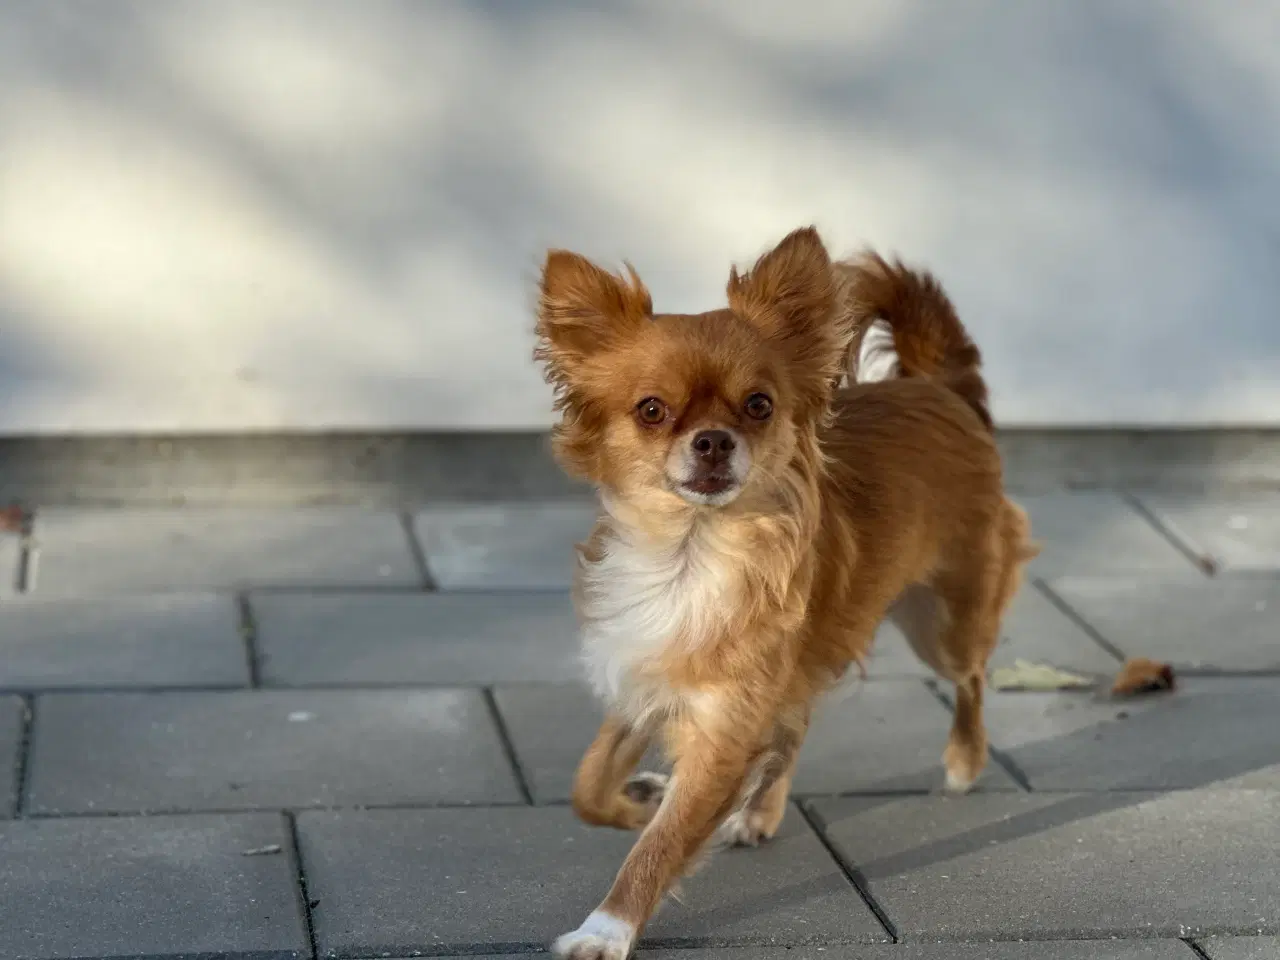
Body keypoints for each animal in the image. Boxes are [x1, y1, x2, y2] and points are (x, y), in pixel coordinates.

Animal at [535, 229, 1034, 957]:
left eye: (759, 405)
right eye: (651, 410)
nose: (714, 440)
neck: (693, 551)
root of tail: (935, 386)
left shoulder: (725, 724)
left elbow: (658, 850)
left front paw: (608, 928)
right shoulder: (646, 677)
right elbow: (588, 786)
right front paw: (639, 802)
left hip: (943, 621)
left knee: (969, 678)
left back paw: (965, 761)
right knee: (796, 723)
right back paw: (759, 807)